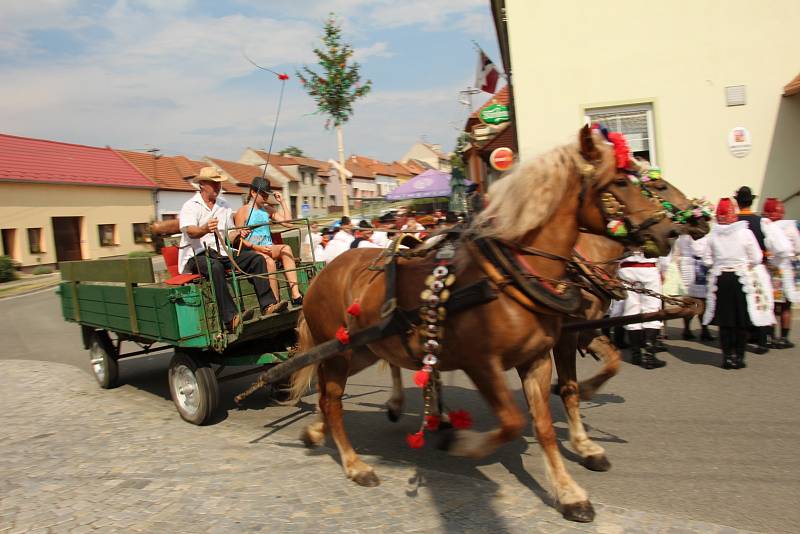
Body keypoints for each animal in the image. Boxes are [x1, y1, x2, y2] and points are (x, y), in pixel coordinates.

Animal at [286, 126, 676, 524]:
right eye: (621, 183)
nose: (669, 231)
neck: (511, 274)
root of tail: (322, 273)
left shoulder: (538, 358)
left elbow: (545, 425)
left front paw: (569, 492)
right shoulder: (483, 363)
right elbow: (514, 420)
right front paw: (464, 445)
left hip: (365, 348)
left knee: (330, 392)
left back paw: (322, 431)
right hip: (341, 351)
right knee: (332, 399)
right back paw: (354, 463)